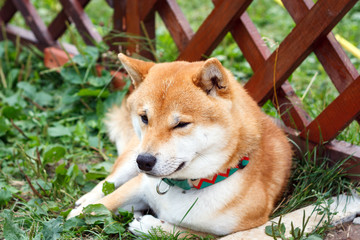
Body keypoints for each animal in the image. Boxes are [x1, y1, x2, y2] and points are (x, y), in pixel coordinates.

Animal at [67, 54, 292, 236]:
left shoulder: (236, 229)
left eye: (181, 124)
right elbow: (104, 203)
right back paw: (86, 199)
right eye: (144, 117)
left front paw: (148, 225)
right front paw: (78, 214)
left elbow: (183, 232)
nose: (144, 161)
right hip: (131, 158)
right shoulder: (139, 184)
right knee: (110, 180)